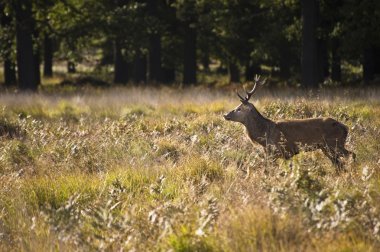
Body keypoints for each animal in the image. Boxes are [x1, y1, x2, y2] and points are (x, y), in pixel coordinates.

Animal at [223, 75, 356, 171]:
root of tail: (346, 128)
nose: (225, 115)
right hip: (326, 147)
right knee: (338, 163)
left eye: (239, 108)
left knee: (351, 154)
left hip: (334, 143)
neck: (265, 135)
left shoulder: (281, 150)